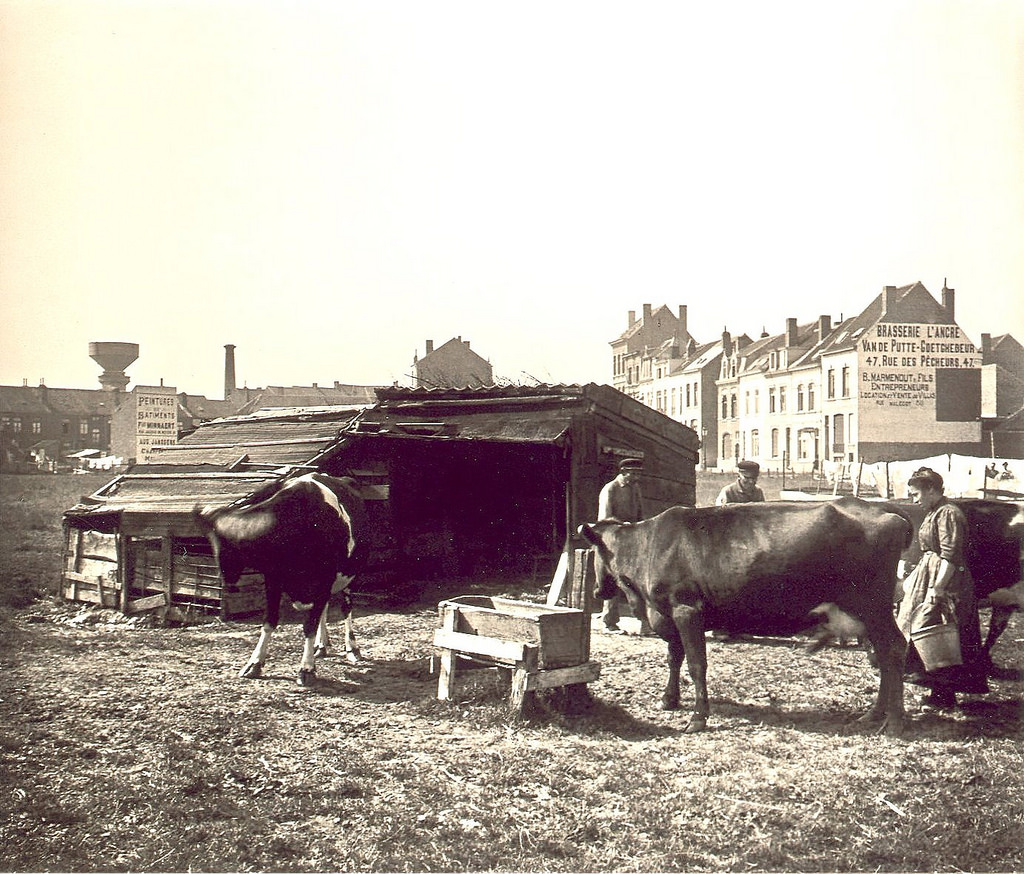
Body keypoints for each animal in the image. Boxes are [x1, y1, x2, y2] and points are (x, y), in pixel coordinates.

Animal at [192, 474, 368, 687]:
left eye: (223, 543)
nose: (225, 578)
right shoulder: (273, 580)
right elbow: (269, 621)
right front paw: (255, 663)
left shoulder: (324, 581)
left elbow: (309, 626)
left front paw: (306, 669)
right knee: (325, 609)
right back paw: (321, 645)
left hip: (350, 573)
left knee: (346, 608)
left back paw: (352, 648)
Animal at [577, 499, 913, 740]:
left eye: (592, 552)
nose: (596, 589)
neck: (647, 546)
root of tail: (885, 509)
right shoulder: (669, 616)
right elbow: (674, 658)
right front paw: (668, 700)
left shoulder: (687, 610)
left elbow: (696, 664)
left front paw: (698, 717)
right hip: (868, 612)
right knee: (885, 654)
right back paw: (874, 714)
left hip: (873, 606)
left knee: (894, 649)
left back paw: (894, 722)